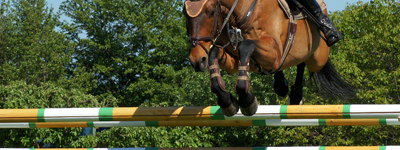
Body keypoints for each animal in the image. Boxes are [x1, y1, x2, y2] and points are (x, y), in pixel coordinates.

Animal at [183, 0, 354, 116]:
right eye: (185, 14)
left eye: (212, 12)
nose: (196, 60)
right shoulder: (233, 61)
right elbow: (214, 53)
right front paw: (226, 100)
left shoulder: (274, 53)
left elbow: (246, 45)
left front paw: (246, 99)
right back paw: (281, 85)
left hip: (318, 58)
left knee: (304, 62)